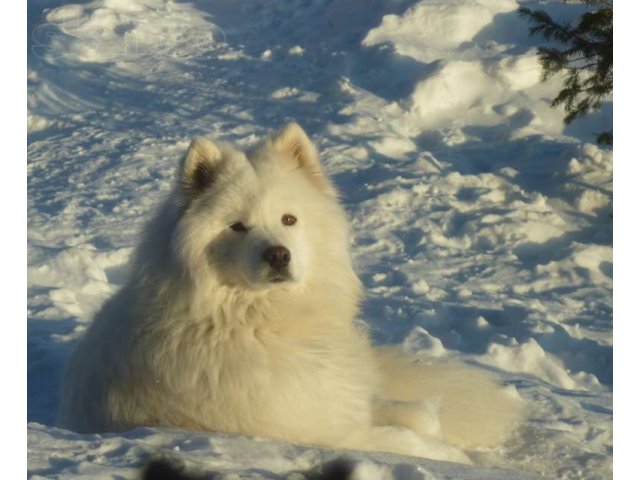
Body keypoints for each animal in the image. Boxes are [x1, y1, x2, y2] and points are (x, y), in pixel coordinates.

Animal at [57, 122, 524, 464]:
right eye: (237, 226)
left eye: (288, 219)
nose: (278, 255)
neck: (257, 320)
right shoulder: (319, 432)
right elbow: (402, 441)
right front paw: (451, 457)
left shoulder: (339, 397)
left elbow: (401, 413)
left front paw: (428, 420)